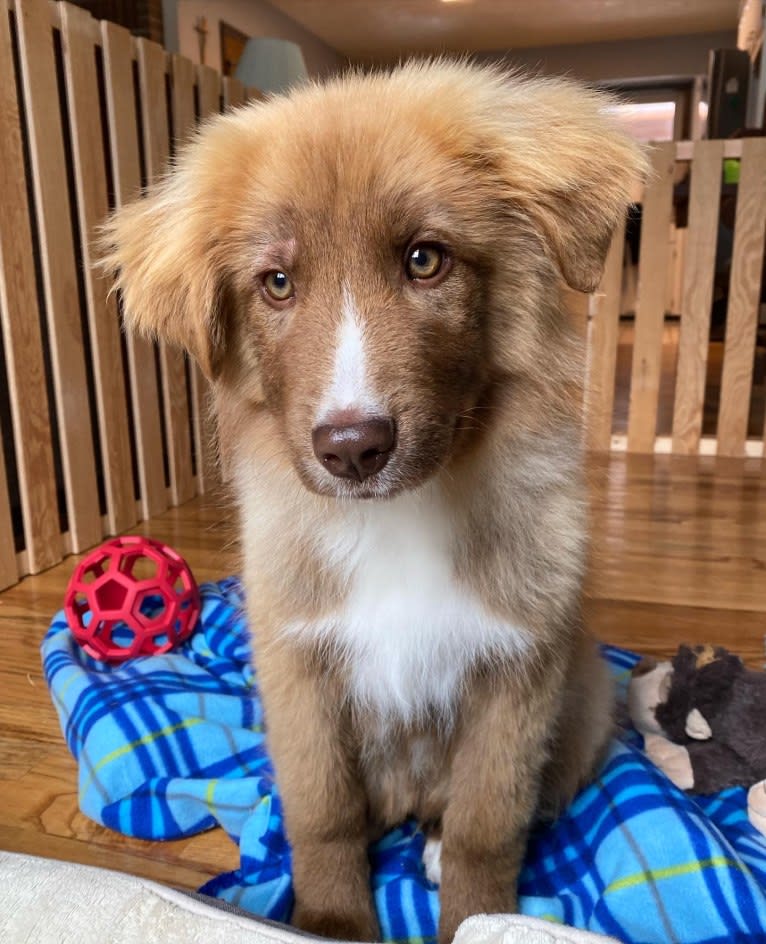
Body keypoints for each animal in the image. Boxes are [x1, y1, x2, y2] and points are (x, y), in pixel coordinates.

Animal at [103, 60, 648, 944]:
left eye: (426, 260)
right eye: (277, 283)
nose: (352, 448)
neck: (400, 518)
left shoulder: (517, 676)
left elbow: (485, 833)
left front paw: (476, 912)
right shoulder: (299, 671)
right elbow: (321, 817)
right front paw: (329, 919)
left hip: (590, 690)